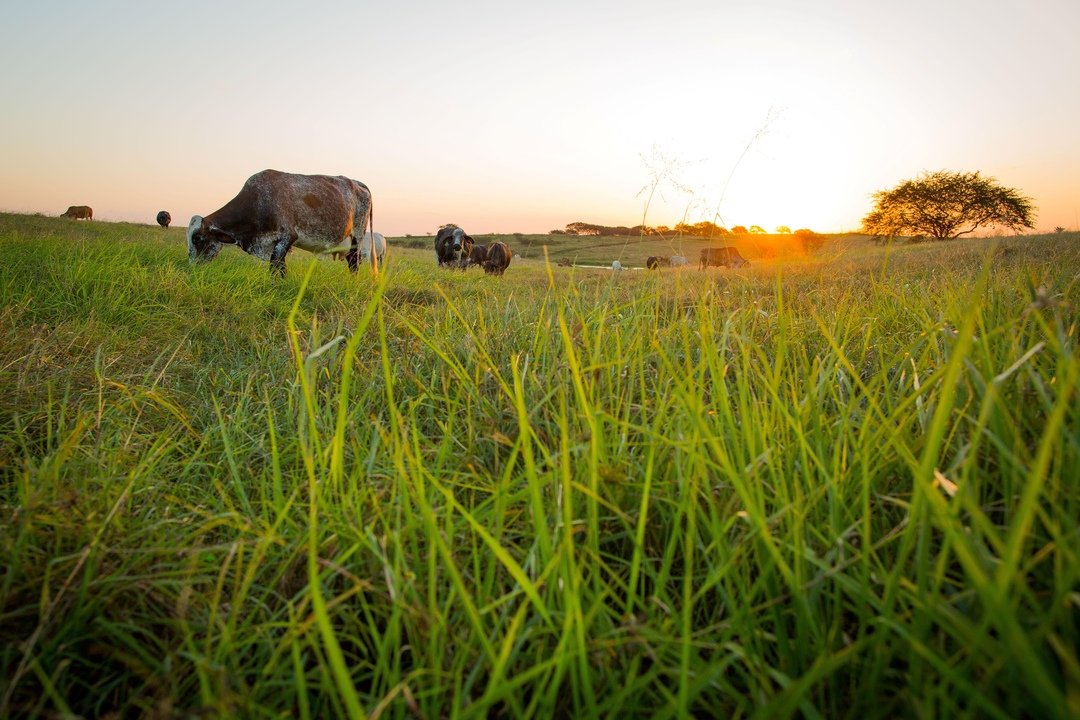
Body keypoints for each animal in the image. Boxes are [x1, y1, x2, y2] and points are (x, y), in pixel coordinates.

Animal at [183, 170, 373, 278]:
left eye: (197, 239)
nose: (191, 270)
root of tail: (357, 183)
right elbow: (279, 269)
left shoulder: (286, 238)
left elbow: (276, 268)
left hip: (357, 237)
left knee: (354, 263)